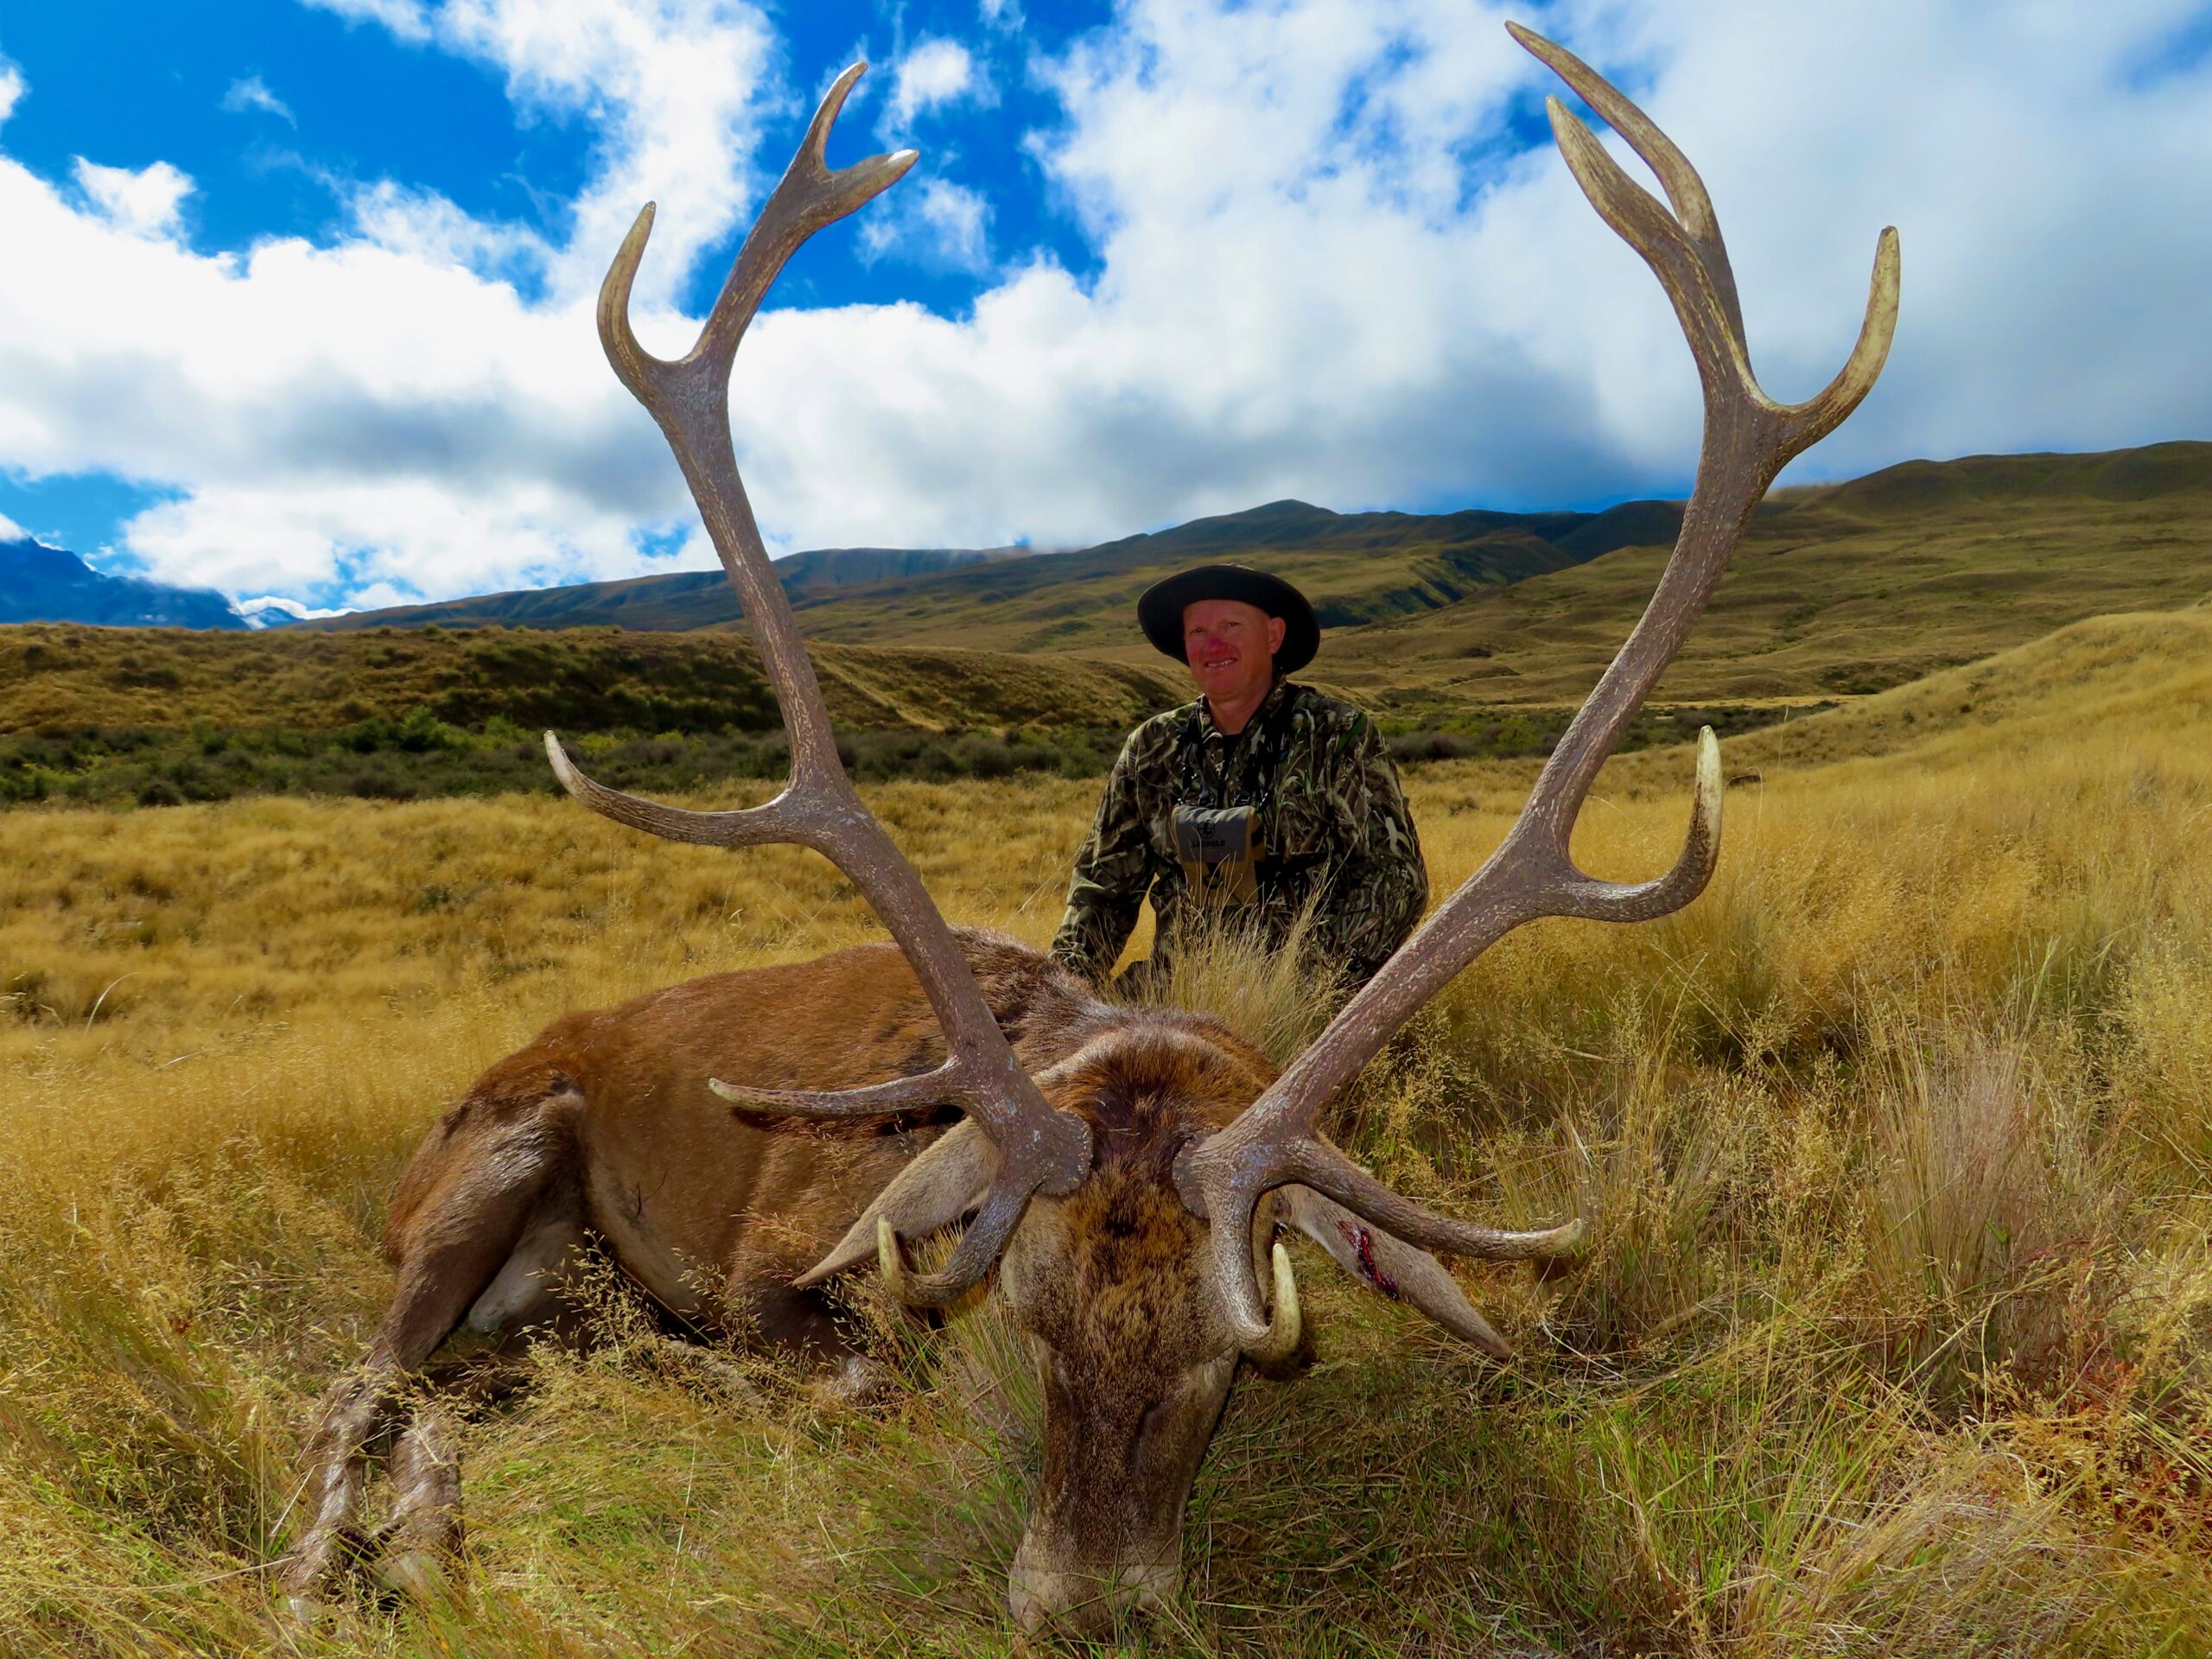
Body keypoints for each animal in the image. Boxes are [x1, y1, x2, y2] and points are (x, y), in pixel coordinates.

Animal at [283, 23, 1897, 1636]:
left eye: (1232, 1351)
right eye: (1024, 1316)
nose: (1090, 1610)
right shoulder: (767, 1261)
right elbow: (848, 1380)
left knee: (460, 1377)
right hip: (492, 1160)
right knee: (361, 1376)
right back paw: (337, 1567)